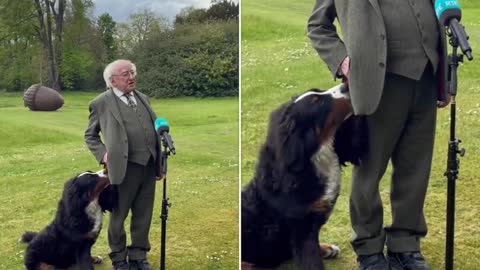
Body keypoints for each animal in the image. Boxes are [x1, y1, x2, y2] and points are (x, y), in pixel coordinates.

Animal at [242, 86, 370, 270]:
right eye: (317, 102)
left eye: (319, 91)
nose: (345, 86)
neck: (315, 157)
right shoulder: (302, 228)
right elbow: (311, 259)